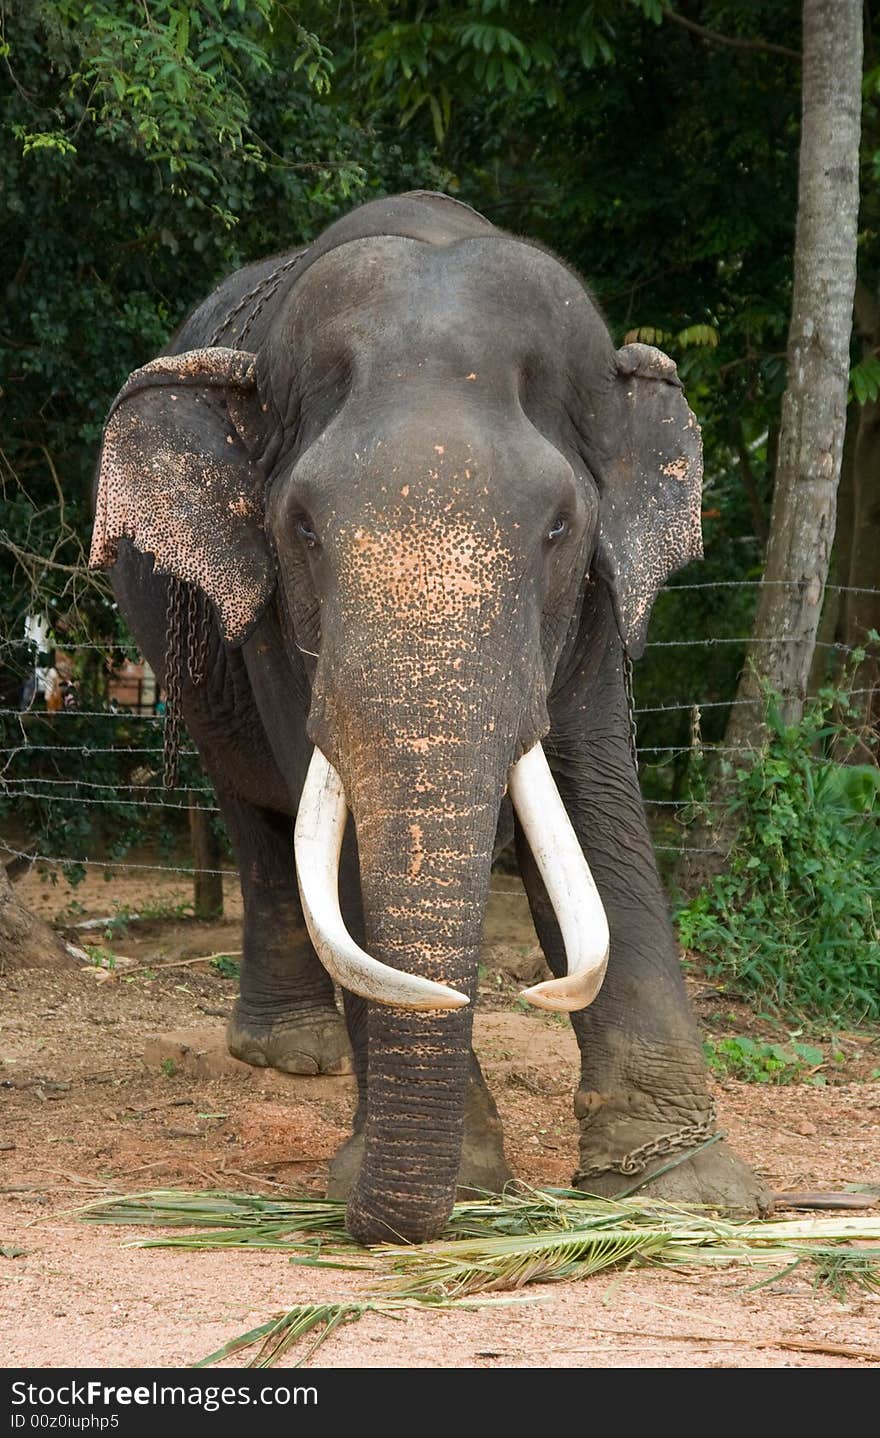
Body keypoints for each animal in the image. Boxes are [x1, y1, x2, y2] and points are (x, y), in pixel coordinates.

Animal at [89, 194, 764, 1248]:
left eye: (559, 528)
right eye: (302, 528)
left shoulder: (598, 600)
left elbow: (594, 791)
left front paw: (687, 1191)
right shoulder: (273, 618)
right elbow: (335, 824)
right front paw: (470, 1179)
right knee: (258, 813)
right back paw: (296, 1055)